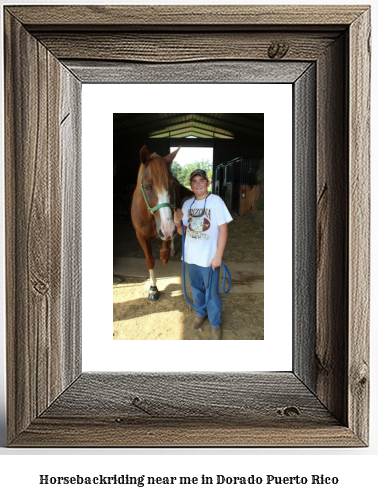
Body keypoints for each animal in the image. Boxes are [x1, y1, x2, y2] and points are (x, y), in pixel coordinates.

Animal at [132, 145, 192, 300]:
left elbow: (164, 247)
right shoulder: (140, 235)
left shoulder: (167, 226)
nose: (168, 230)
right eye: (147, 186)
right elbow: (150, 260)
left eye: (172, 184)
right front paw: (153, 289)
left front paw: (165, 255)